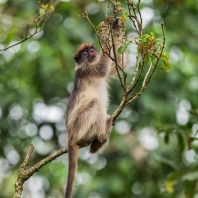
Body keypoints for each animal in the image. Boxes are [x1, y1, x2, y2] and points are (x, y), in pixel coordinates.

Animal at [65, 18, 127, 198]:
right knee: (96, 104)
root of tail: (70, 137)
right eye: (85, 54)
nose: (92, 53)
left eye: (92, 50)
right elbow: (103, 69)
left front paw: (116, 29)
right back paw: (101, 134)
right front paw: (106, 38)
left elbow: (121, 63)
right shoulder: (86, 70)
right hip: (78, 128)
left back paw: (97, 144)